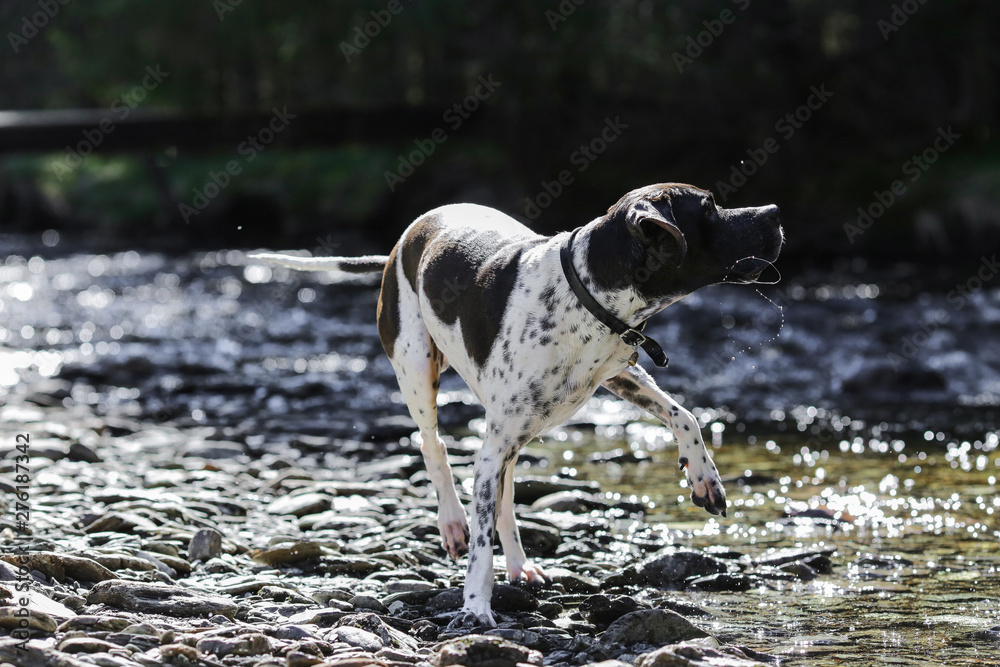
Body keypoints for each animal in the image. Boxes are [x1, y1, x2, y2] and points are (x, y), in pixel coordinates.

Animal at [250, 181, 780, 628]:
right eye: (708, 208)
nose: (774, 211)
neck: (583, 291)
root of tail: (405, 238)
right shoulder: (498, 441)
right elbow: (481, 546)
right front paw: (475, 609)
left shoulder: (618, 372)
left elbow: (684, 414)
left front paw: (704, 477)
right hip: (417, 368)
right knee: (433, 447)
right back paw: (452, 522)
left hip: (507, 430)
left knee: (502, 495)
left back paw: (521, 565)